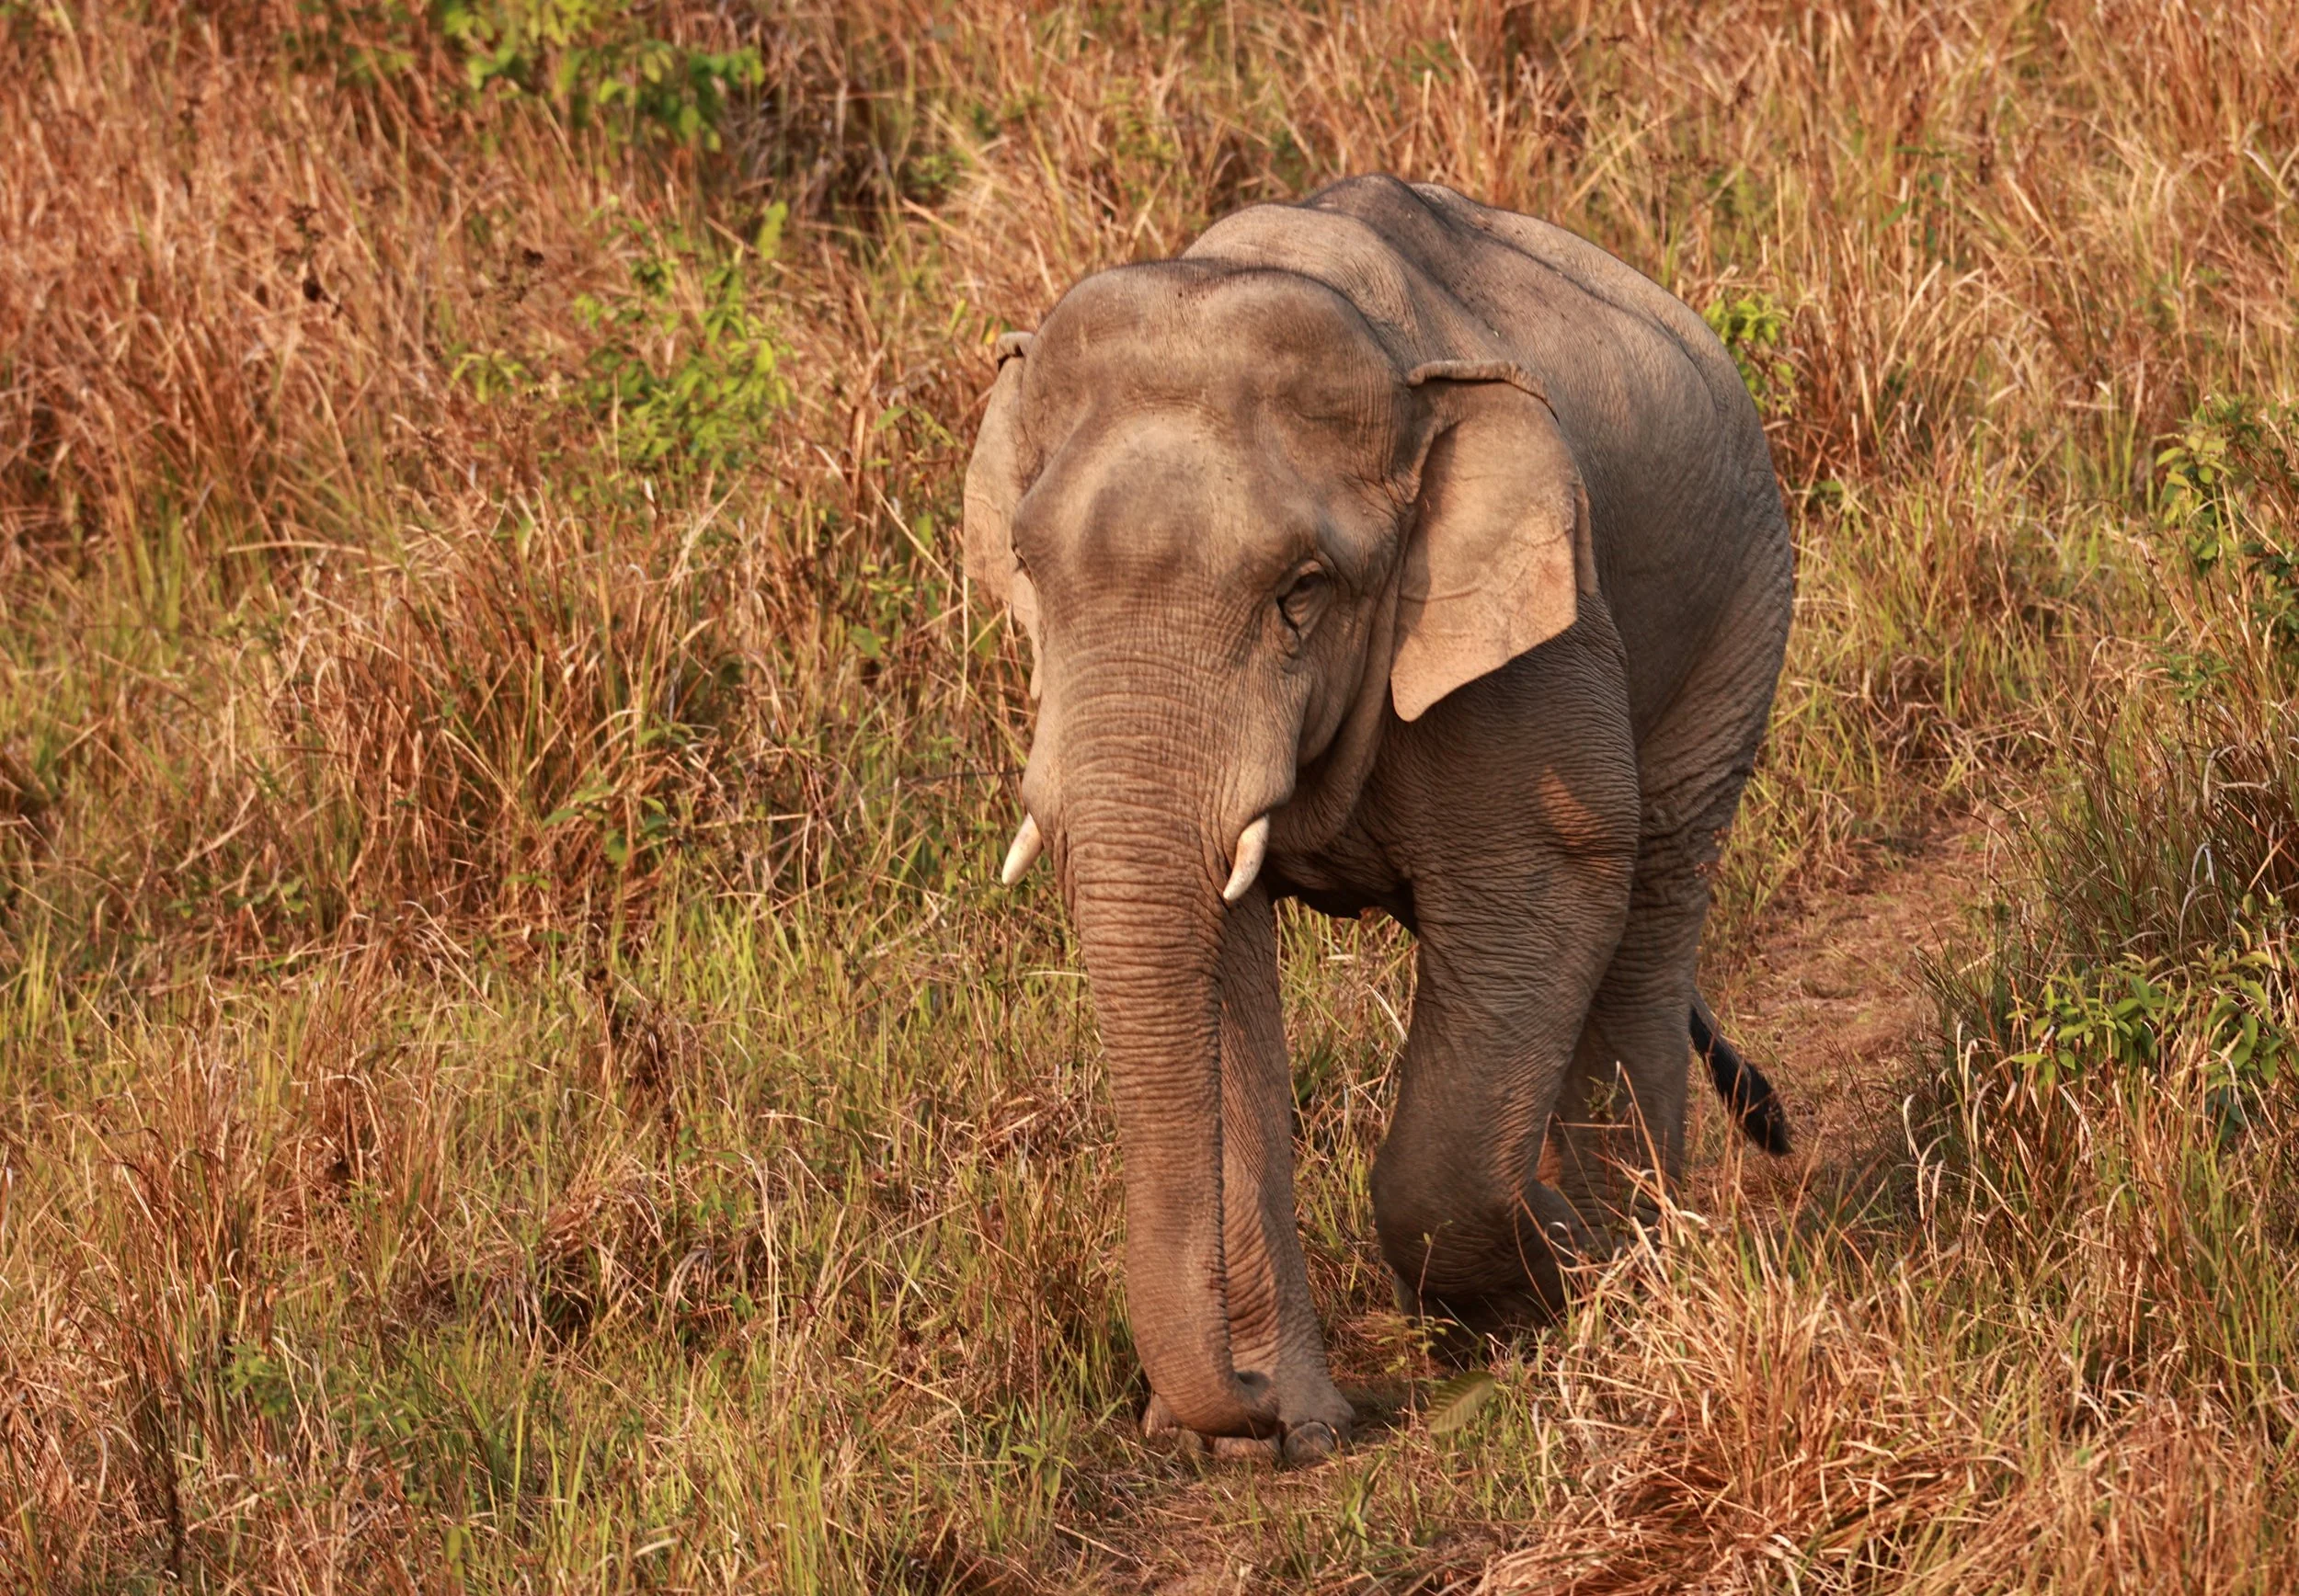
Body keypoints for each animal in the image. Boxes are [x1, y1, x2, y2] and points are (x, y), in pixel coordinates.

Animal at [963, 176, 1795, 1463]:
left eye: (1302, 591)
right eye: (1025, 565)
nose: (1233, 1403)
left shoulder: (1533, 640)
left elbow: (1546, 883)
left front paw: (1535, 1285)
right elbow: (1218, 966)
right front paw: (1278, 1433)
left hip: (1743, 601)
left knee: (1647, 909)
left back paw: (1627, 1259)